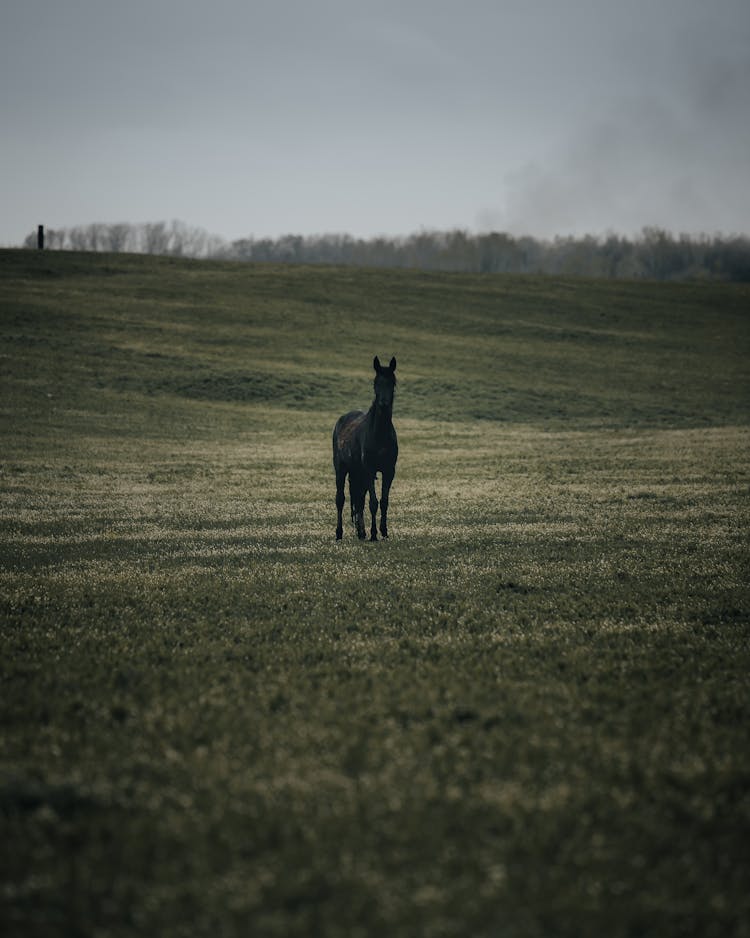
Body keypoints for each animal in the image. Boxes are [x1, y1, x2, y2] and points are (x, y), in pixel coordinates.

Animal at [332, 352, 396, 536]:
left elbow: (383, 501)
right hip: (341, 468)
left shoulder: (389, 471)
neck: (379, 434)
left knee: (359, 498)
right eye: (376, 382)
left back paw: (361, 532)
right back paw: (339, 533)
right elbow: (373, 503)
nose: (383, 403)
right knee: (340, 499)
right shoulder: (369, 469)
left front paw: (383, 531)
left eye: (392, 382)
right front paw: (374, 534)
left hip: (357, 472)